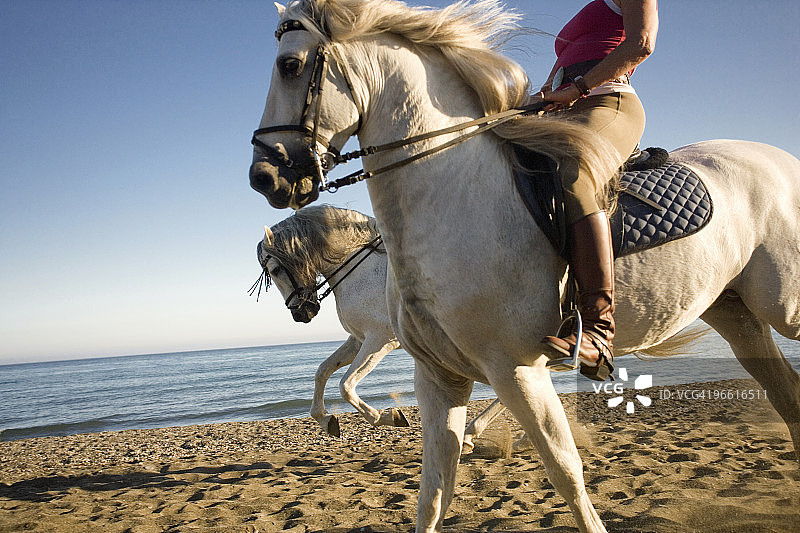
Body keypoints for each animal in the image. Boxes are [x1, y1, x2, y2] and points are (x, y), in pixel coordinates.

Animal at [254, 204, 521, 451]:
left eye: (275, 269)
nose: (301, 314)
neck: (360, 270)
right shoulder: (358, 340)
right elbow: (322, 371)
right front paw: (326, 420)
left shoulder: (380, 340)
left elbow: (346, 386)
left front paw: (388, 417)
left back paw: (473, 434)